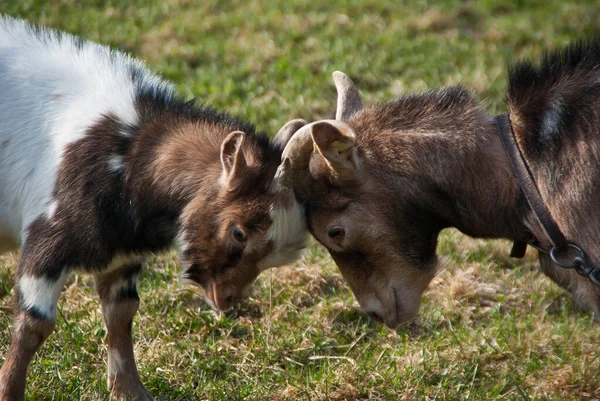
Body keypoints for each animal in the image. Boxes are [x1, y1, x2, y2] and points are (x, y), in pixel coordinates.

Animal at [0, 16, 308, 400]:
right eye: (238, 232)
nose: (227, 299)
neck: (131, 153)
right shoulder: (46, 241)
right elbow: (35, 323)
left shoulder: (121, 255)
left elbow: (122, 312)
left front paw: (130, 391)